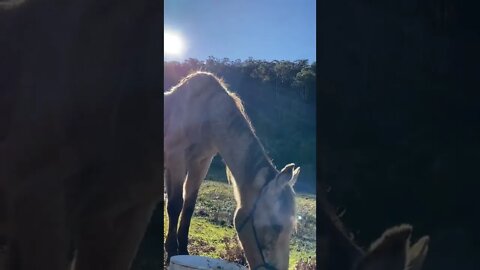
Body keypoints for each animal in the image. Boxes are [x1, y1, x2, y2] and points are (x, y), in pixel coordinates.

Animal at [165, 71, 300, 270]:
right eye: (276, 227)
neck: (206, 113)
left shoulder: (200, 163)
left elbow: (188, 206)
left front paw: (182, 250)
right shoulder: (177, 159)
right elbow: (175, 205)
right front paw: (171, 251)